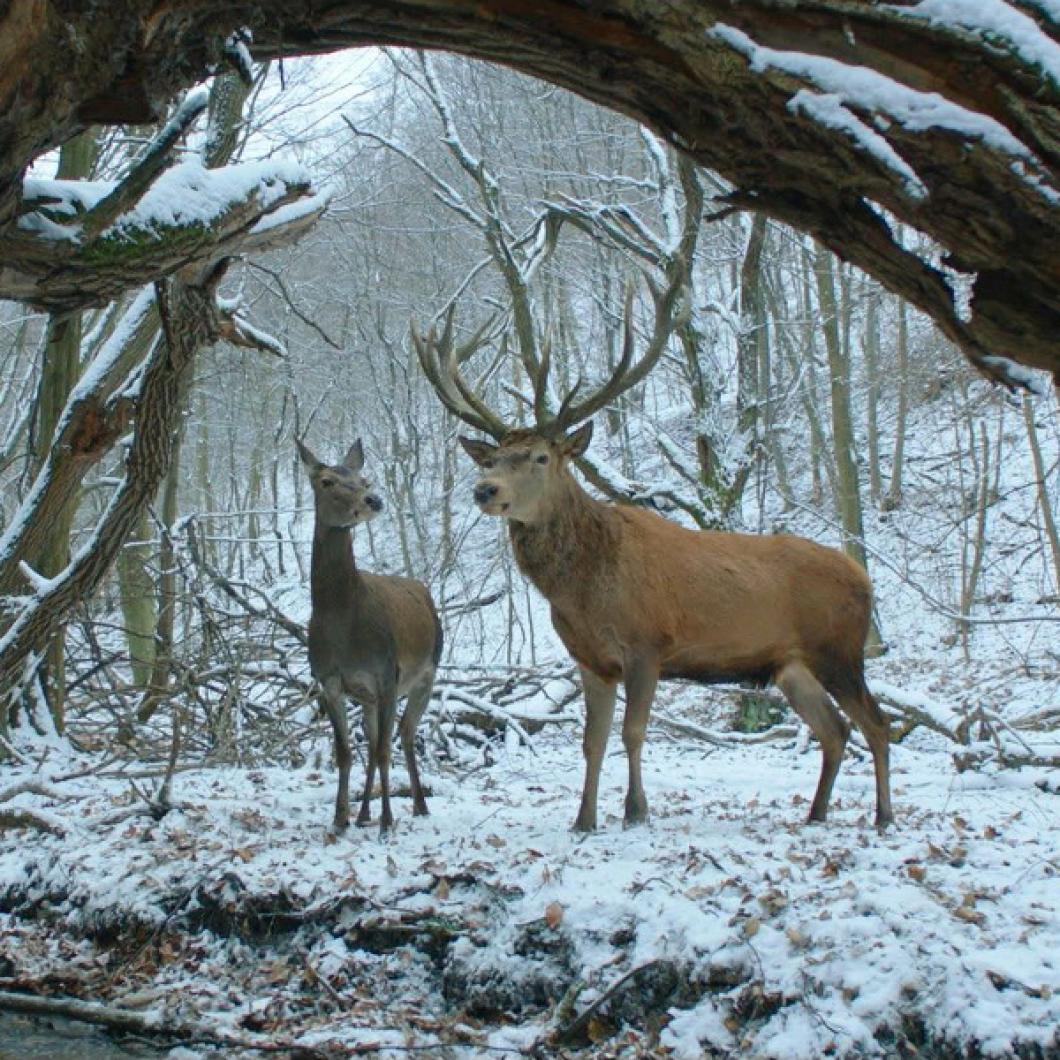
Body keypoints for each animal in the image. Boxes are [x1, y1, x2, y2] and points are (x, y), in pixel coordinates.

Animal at [296, 438, 440, 835]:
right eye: (327, 481)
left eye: (363, 479)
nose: (373, 500)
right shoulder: (329, 680)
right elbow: (345, 752)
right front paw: (340, 818)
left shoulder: (387, 674)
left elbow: (383, 750)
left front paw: (387, 821)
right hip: (369, 696)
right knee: (377, 738)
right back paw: (363, 814)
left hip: (427, 672)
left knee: (404, 734)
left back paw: (418, 805)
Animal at [409, 296, 890, 826]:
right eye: (491, 459)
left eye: (539, 457)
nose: (485, 490)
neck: (584, 593)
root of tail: (865, 578)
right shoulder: (590, 660)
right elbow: (592, 742)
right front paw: (584, 820)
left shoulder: (648, 644)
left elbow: (632, 733)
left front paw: (636, 810)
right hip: (792, 666)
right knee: (835, 730)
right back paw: (816, 813)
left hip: (840, 650)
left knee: (877, 723)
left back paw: (883, 815)